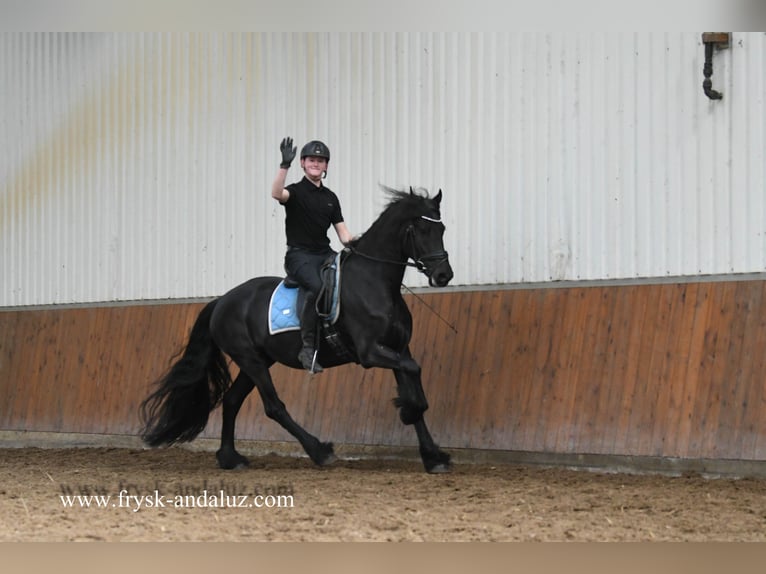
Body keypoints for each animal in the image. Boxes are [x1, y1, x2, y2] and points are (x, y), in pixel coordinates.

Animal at [140, 187, 456, 474]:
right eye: (421, 229)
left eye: (441, 228)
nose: (444, 275)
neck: (375, 283)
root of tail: (222, 301)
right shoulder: (371, 352)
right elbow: (415, 381)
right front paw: (409, 411)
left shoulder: (398, 348)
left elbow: (413, 379)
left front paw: (433, 456)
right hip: (251, 360)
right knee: (273, 406)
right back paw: (319, 451)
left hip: (257, 360)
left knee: (231, 401)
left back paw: (230, 458)